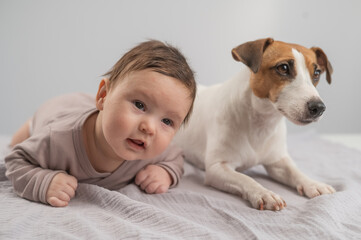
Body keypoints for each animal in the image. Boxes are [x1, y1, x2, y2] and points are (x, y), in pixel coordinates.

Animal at [173, 37, 334, 210]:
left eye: (316, 73)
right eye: (283, 68)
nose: (319, 107)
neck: (261, 122)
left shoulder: (277, 161)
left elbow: (295, 171)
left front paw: (313, 183)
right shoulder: (217, 167)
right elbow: (245, 179)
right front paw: (264, 193)